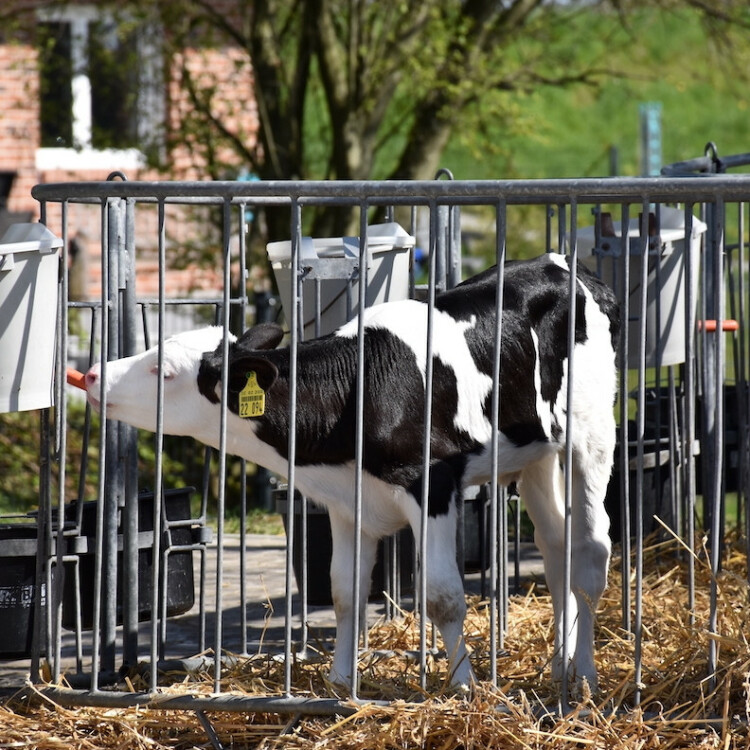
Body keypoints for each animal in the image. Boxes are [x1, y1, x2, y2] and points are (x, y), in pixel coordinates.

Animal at [85, 256, 620, 696]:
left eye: (163, 371)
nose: (90, 375)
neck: (356, 391)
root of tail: (571, 268)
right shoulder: (346, 501)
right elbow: (345, 593)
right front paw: (341, 682)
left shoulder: (433, 482)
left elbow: (443, 595)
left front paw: (463, 686)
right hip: (536, 452)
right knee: (556, 550)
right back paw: (560, 666)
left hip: (592, 431)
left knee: (590, 554)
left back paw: (587, 678)